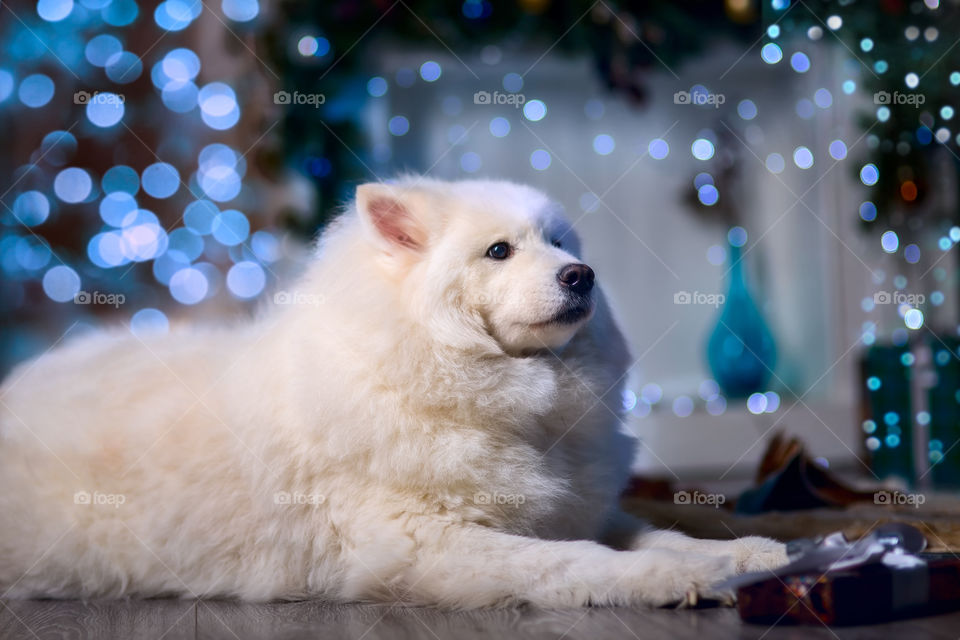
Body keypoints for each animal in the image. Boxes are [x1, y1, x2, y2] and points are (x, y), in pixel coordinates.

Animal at [0, 179, 784, 604]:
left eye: (560, 243)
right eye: (499, 251)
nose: (582, 275)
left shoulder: (571, 506)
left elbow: (660, 530)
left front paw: (746, 552)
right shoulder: (433, 547)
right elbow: (579, 562)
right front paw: (670, 578)